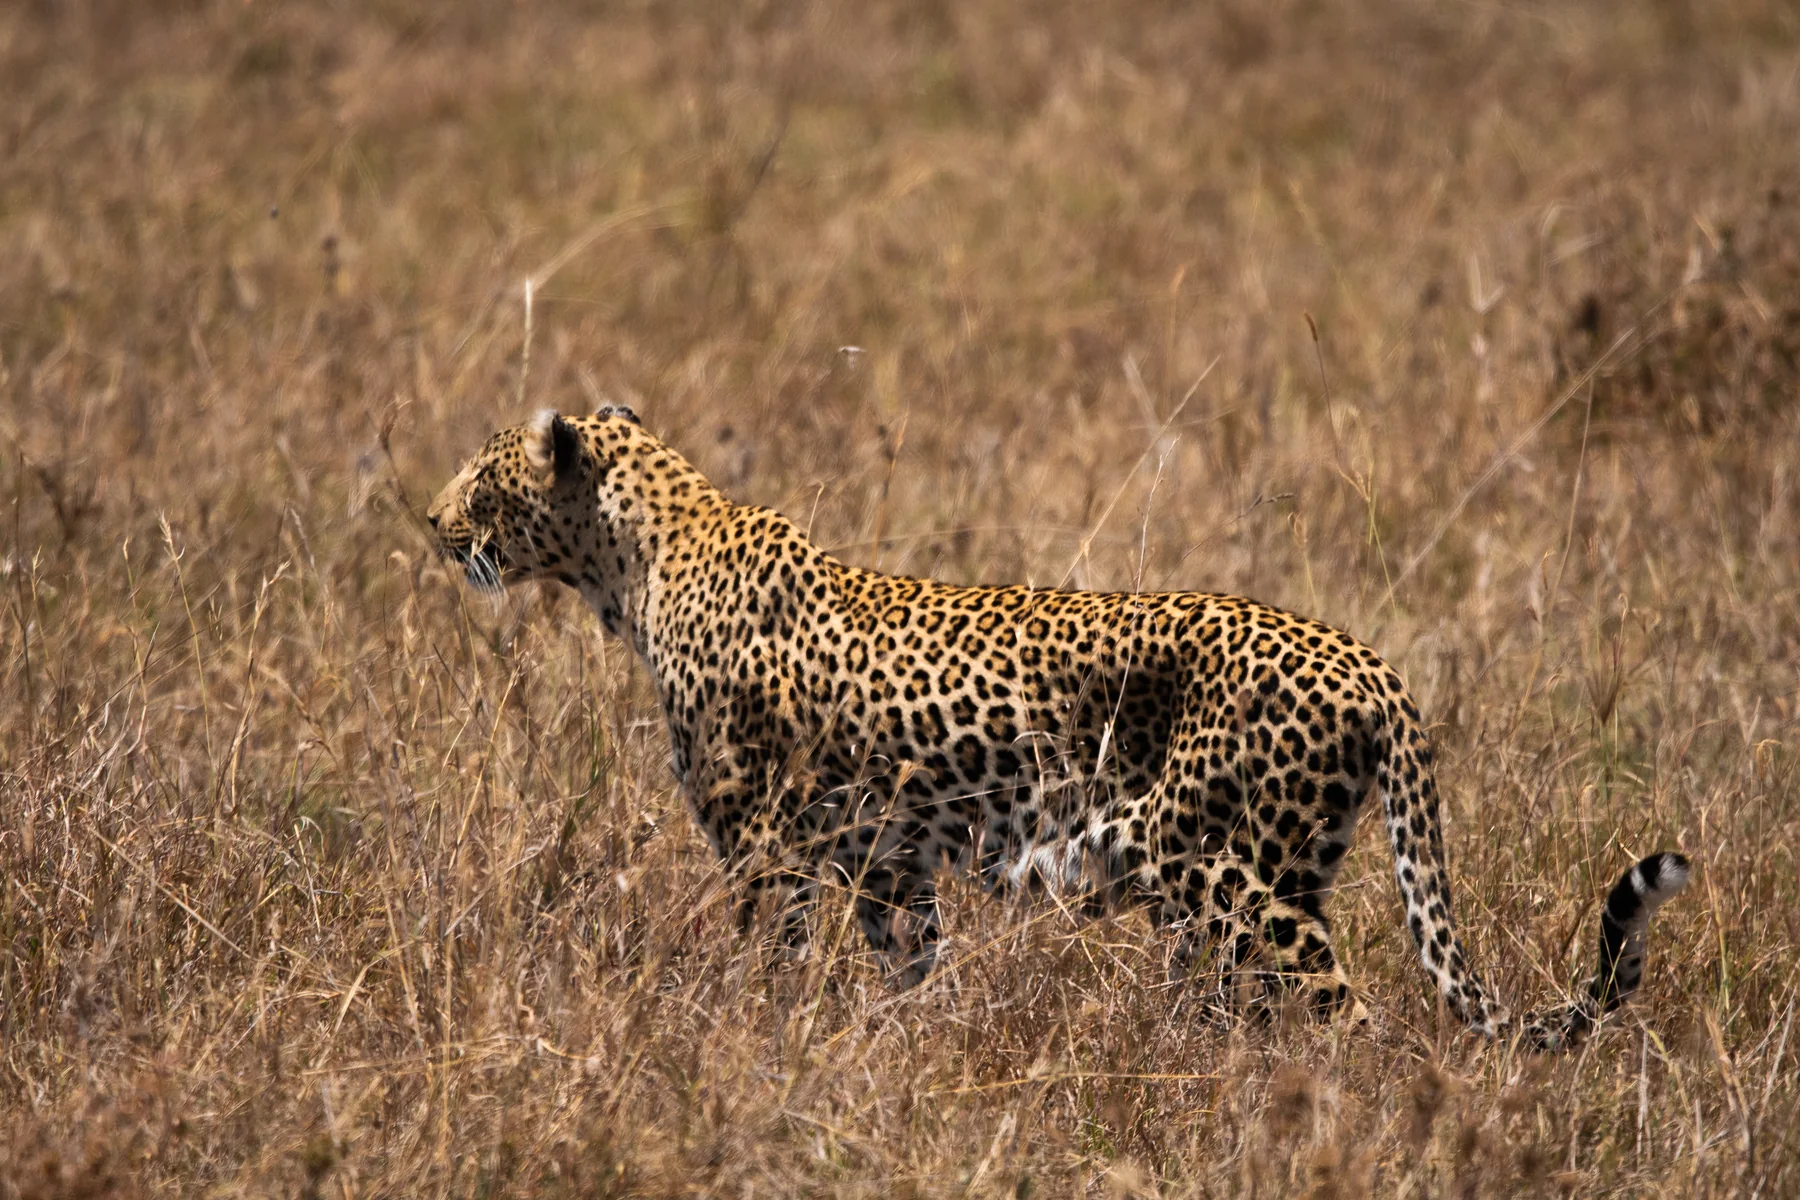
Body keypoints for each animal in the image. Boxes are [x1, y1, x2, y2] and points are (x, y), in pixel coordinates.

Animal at [426, 407, 1690, 1050]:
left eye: (482, 479)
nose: (431, 523)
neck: (639, 560)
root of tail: (1373, 667)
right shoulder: (889, 862)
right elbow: (907, 967)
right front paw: (901, 1059)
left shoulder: (763, 847)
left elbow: (767, 962)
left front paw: (749, 1043)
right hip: (1282, 865)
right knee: (1254, 1000)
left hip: (1213, 864)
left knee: (1337, 996)